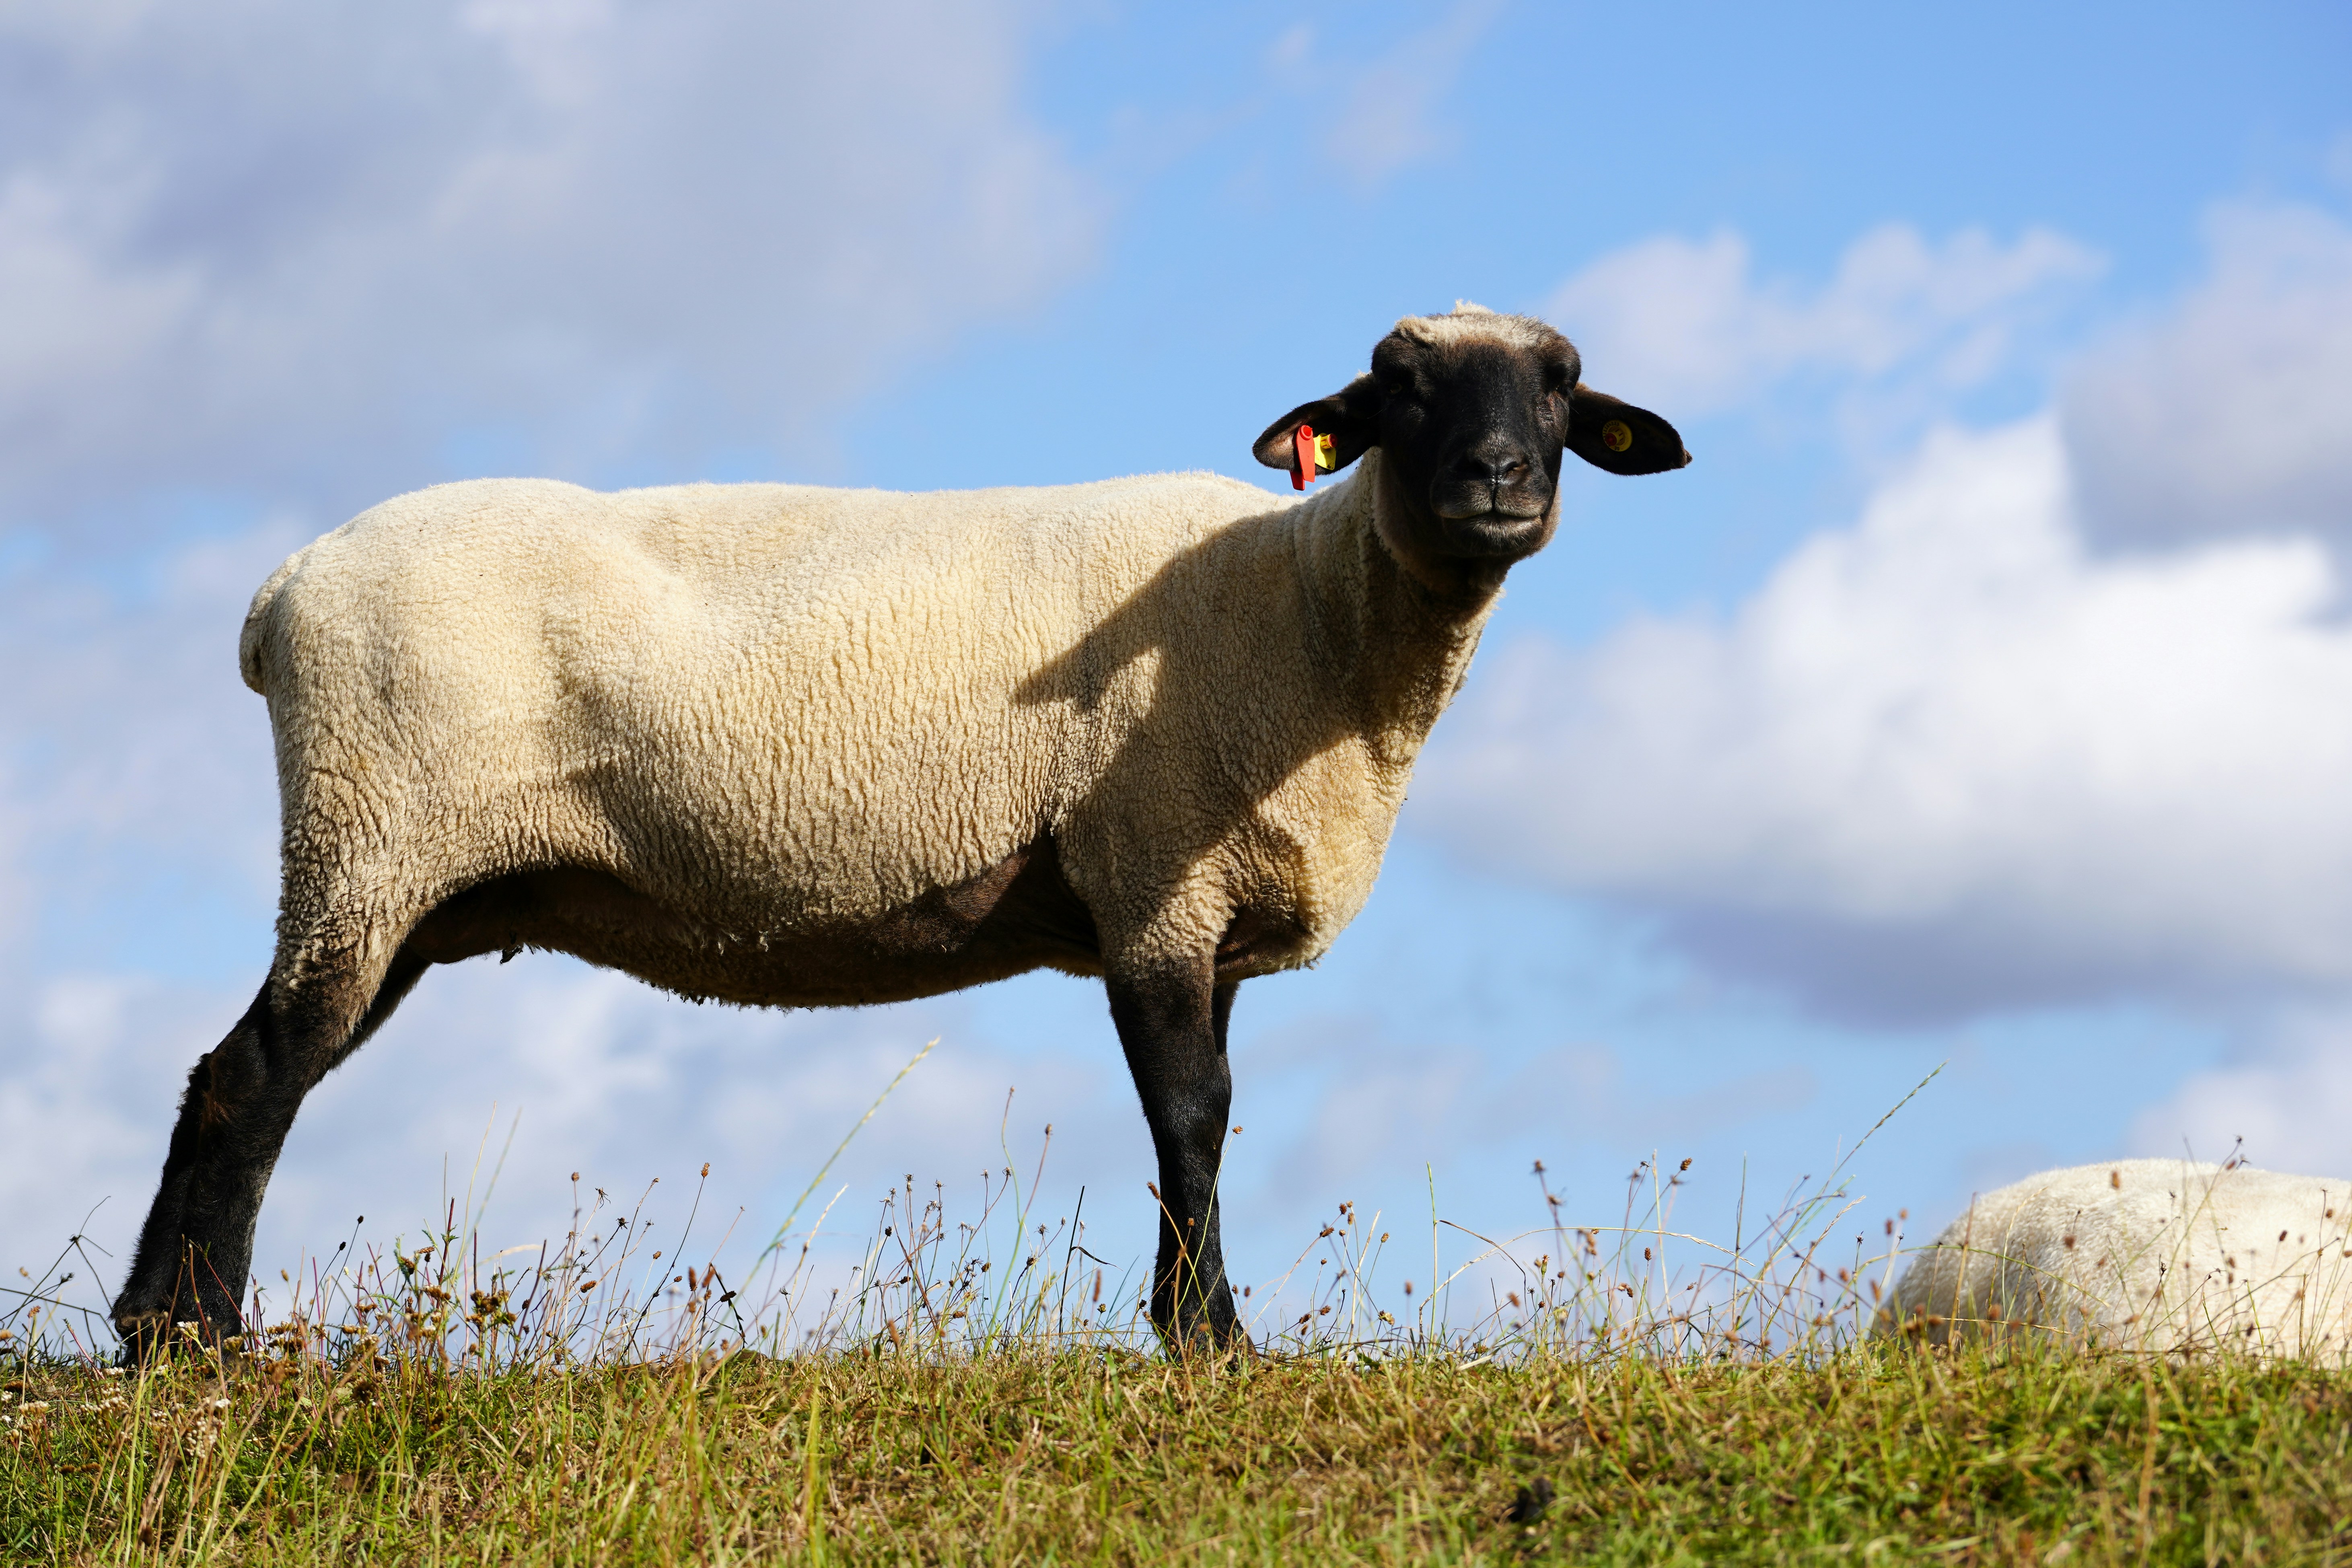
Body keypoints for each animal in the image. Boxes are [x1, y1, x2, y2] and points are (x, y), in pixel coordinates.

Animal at [111, 303, 1690, 1357]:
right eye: (1398, 389)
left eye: (1561, 389)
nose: (1500, 481)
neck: (1312, 616)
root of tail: (281, 594)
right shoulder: (1149, 874)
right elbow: (1191, 1112)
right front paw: (1210, 1340)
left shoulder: (1204, 902)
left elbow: (1207, 1119)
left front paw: (1189, 1323)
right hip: (370, 832)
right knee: (258, 1073)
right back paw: (200, 1340)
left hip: (414, 882)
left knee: (228, 1071)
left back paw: (148, 1324)